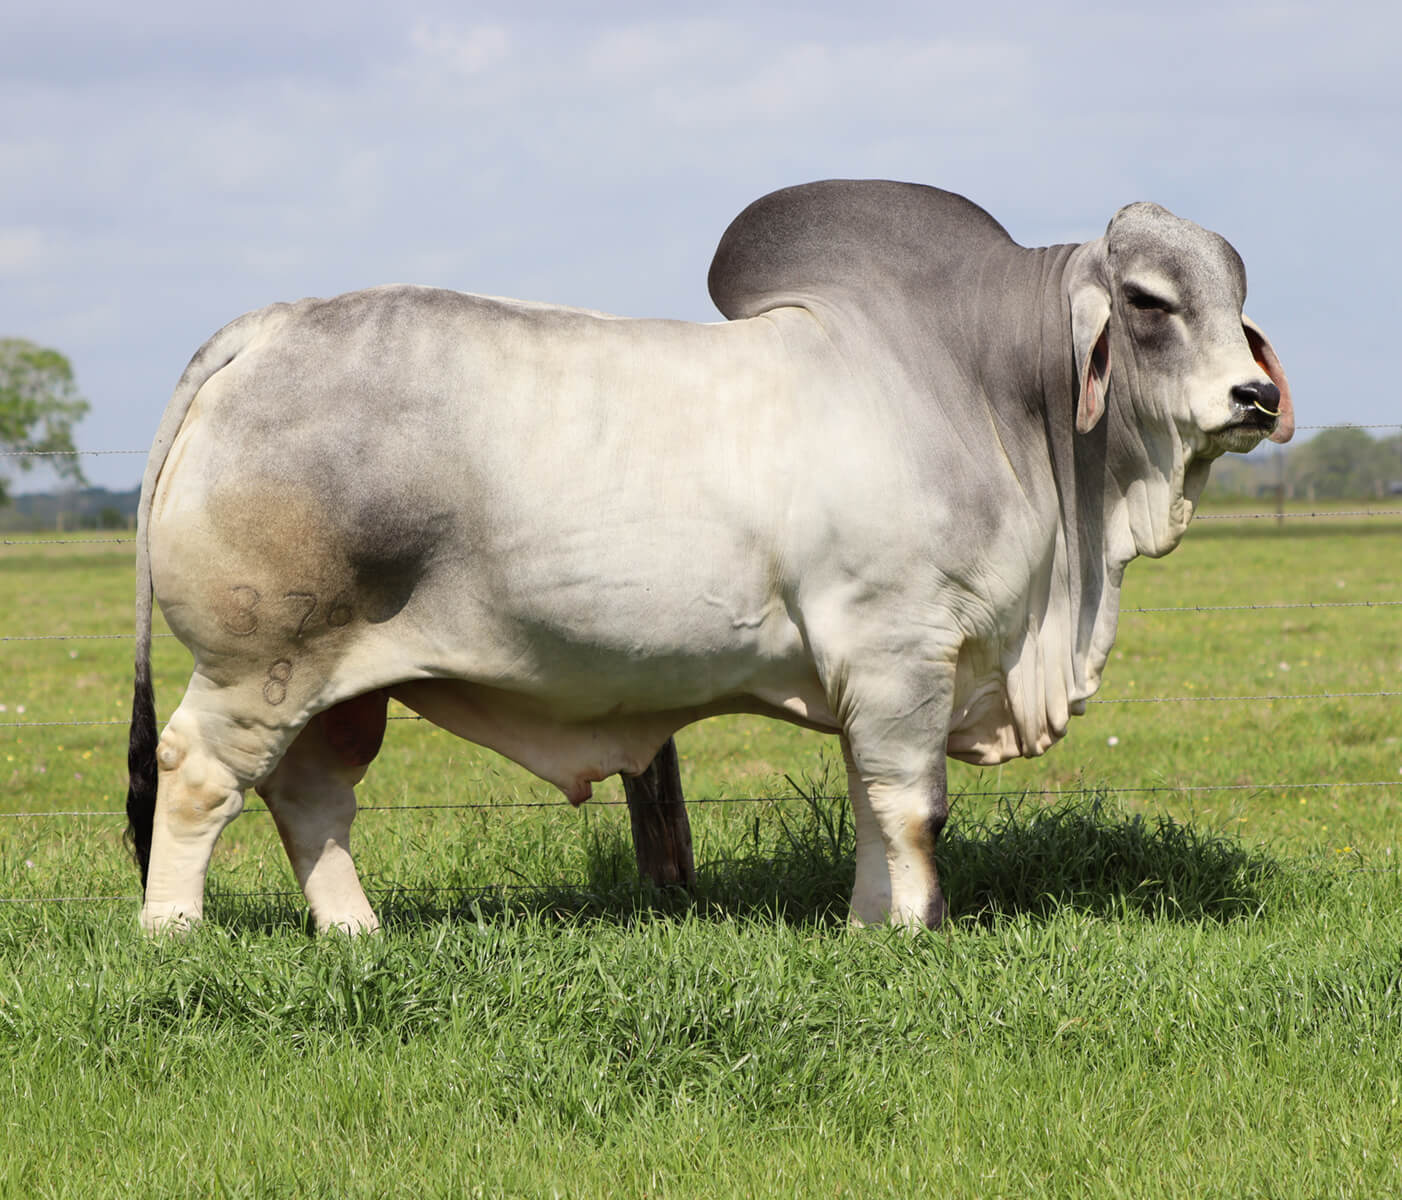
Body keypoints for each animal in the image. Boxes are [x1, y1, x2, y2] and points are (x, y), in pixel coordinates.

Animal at [125, 180, 1292, 934]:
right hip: (260, 661)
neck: (988, 390)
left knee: (311, 798)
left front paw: (870, 926)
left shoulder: (878, 675)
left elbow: (872, 805)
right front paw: (919, 928)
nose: (1253, 396)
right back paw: (173, 935)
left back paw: (354, 934)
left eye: (1239, 301)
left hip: (338, 686)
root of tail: (269, 327)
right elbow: (913, 808)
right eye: (1148, 301)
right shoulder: (902, 648)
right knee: (195, 780)